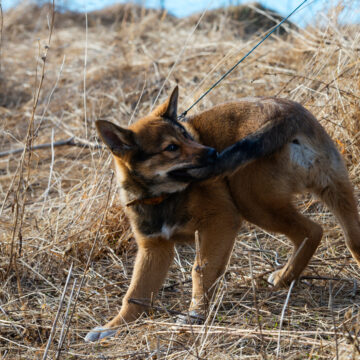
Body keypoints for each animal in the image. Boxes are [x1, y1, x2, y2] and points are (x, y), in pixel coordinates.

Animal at [83, 86, 360, 342]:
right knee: (345, 238)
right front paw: (113, 327)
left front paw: (196, 314)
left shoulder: (220, 223)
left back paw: (284, 278)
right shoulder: (155, 249)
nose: (212, 153)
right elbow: (135, 294)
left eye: (187, 136)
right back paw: (288, 277)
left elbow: (200, 272)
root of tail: (285, 114)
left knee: (312, 231)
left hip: (251, 201)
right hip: (335, 189)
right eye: (171, 147)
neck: (161, 196)